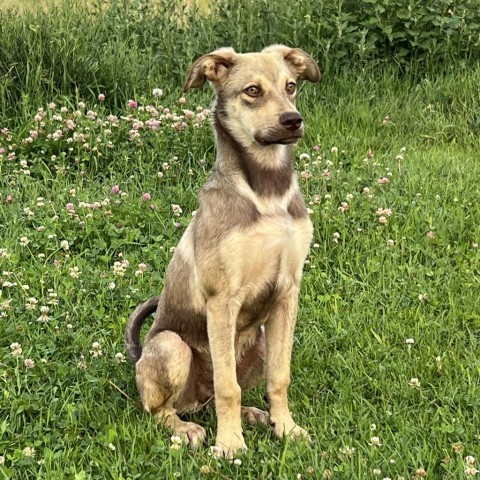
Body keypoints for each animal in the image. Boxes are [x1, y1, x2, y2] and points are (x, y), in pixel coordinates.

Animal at [124, 45, 318, 458]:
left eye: (291, 86)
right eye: (252, 91)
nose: (293, 121)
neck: (266, 192)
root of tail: (138, 357)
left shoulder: (287, 292)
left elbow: (280, 377)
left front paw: (286, 428)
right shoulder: (222, 299)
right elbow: (228, 386)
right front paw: (229, 444)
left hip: (259, 341)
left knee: (218, 394)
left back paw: (253, 414)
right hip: (171, 346)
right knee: (162, 409)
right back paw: (186, 429)